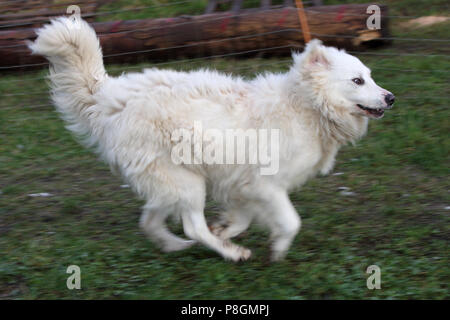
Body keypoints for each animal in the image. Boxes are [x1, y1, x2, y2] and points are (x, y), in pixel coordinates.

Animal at [29, 16, 394, 260]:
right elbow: (291, 221)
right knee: (191, 225)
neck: (305, 105)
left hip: (171, 182)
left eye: (371, 76)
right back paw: (230, 253)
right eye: (358, 80)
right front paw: (276, 249)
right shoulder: (266, 184)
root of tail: (108, 94)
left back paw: (176, 246)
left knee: (150, 220)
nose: (391, 98)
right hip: (186, 181)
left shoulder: (242, 183)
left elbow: (242, 217)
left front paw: (227, 228)